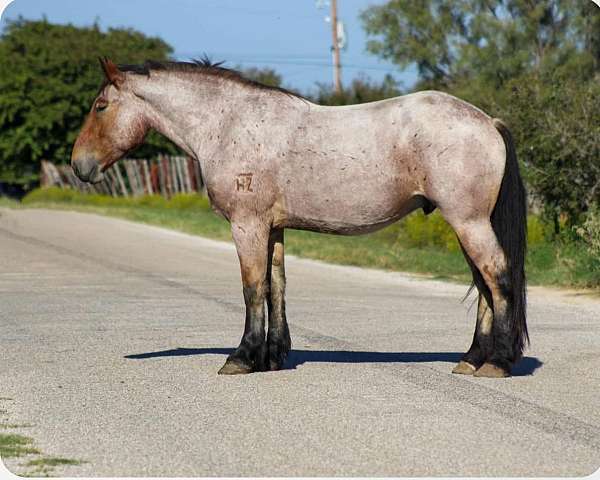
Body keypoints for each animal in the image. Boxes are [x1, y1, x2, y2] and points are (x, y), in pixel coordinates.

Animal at [71, 58, 528, 376]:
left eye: (100, 106)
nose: (80, 166)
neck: (228, 123)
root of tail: (487, 121)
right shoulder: (273, 229)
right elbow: (277, 287)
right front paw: (272, 357)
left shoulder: (248, 225)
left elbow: (253, 288)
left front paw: (242, 358)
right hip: (467, 224)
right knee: (484, 285)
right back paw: (471, 359)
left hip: (468, 222)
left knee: (498, 277)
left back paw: (497, 363)